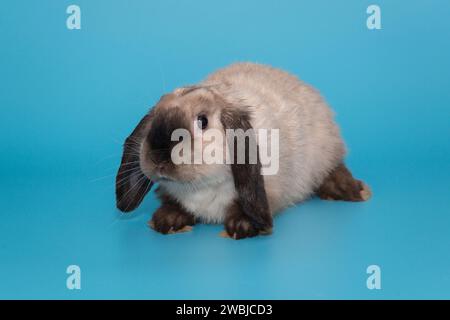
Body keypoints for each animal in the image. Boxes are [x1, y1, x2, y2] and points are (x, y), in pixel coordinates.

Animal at [116, 62, 372, 239]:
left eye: (203, 121)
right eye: (156, 119)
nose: (158, 155)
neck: (200, 188)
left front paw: (241, 227)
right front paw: (167, 220)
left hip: (325, 154)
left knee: (335, 170)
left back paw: (355, 191)